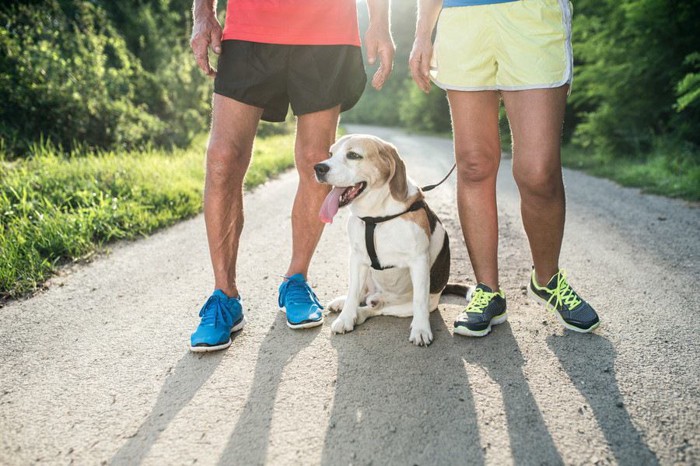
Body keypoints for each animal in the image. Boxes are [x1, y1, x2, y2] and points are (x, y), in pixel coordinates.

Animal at [314, 133, 462, 344]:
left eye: (353, 155)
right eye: (330, 154)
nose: (318, 168)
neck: (376, 216)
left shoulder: (419, 261)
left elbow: (419, 301)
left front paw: (421, 330)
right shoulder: (357, 258)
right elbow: (353, 292)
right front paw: (345, 318)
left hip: (412, 305)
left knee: (376, 309)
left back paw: (365, 311)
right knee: (362, 295)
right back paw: (344, 304)